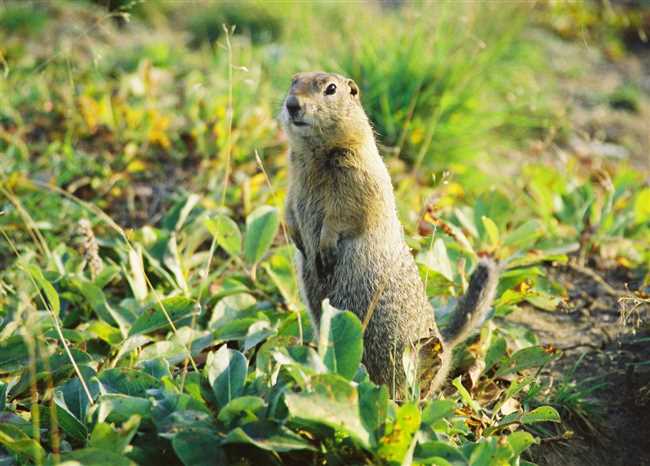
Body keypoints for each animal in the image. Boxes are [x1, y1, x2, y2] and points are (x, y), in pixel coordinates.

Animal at [278, 71, 496, 396]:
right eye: (293, 81)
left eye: (331, 89)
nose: (292, 104)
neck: (315, 154)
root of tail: (445, 344)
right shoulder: (293, 181)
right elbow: (289, 206)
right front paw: (296, 237)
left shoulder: (357, 176)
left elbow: (344, 213)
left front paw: (325, 247)